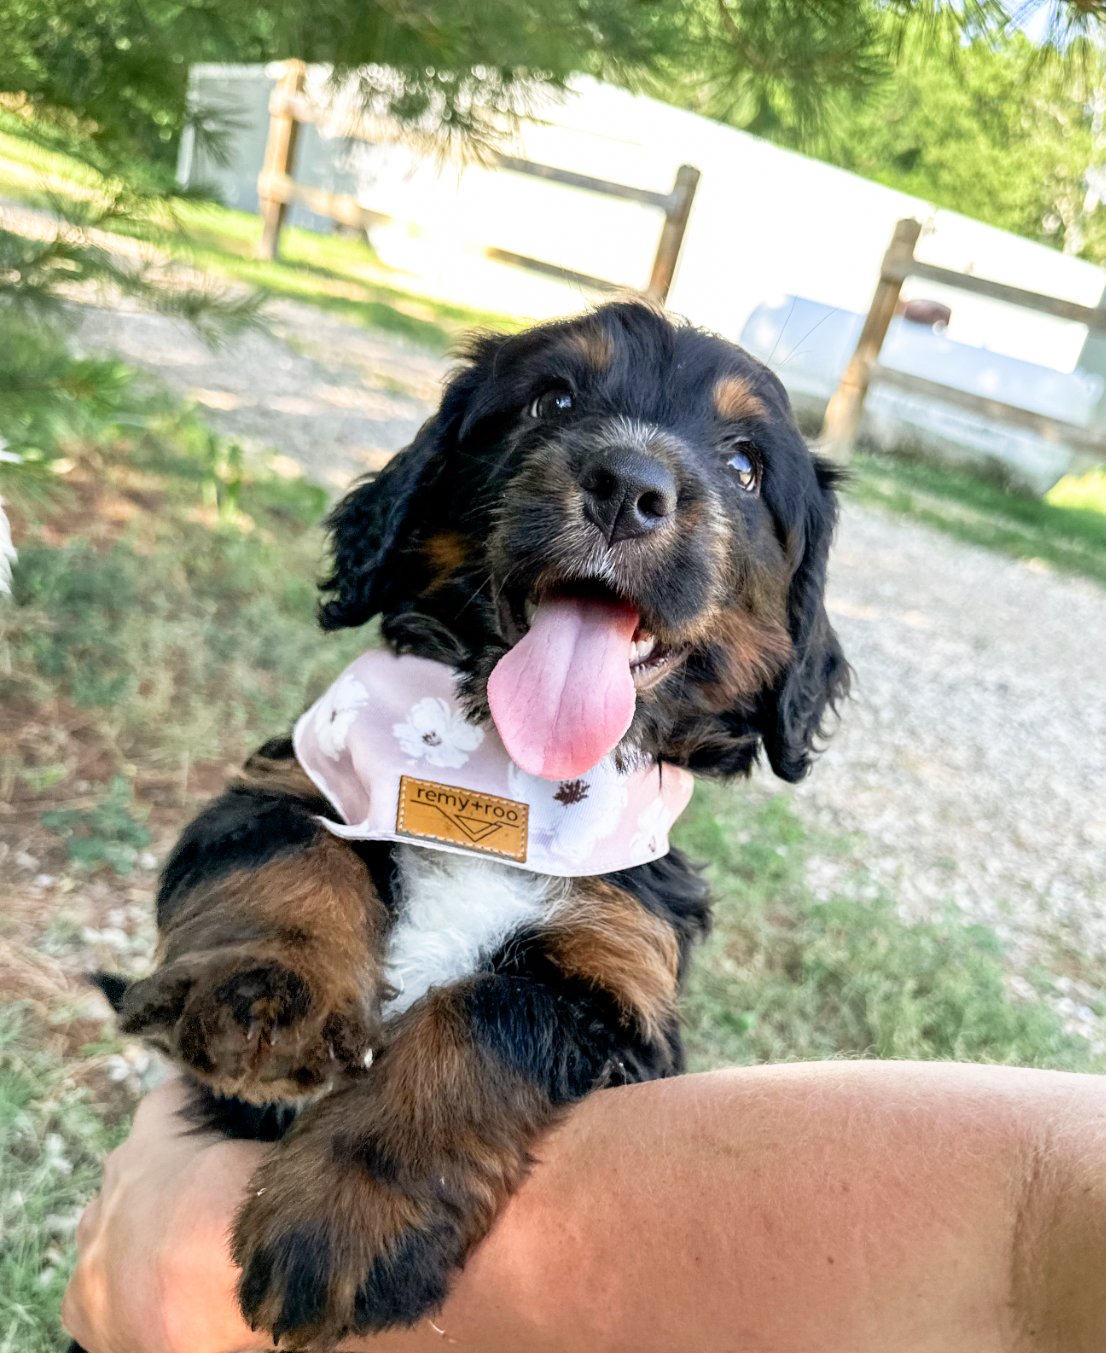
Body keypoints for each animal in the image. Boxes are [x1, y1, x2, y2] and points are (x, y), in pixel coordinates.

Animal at [107, 301, 844, 1347]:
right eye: (553, 399)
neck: (499, 777)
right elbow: (287, 851)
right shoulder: (286, 777)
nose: (630, 487)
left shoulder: (619, 981)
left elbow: (491, 1010)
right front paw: (261, 995)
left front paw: (342, 1214)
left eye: (745, 465)